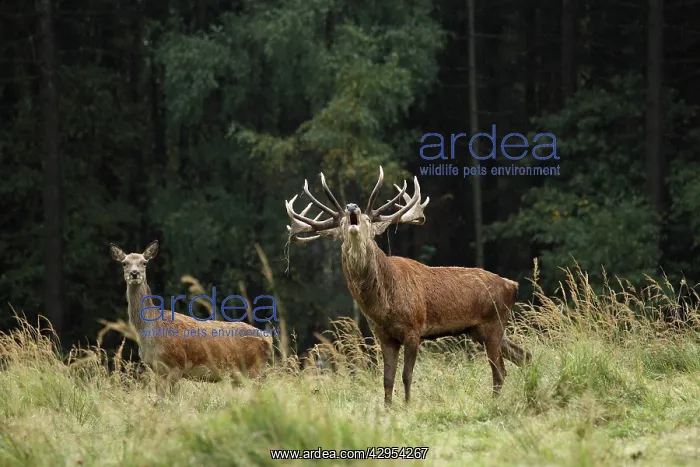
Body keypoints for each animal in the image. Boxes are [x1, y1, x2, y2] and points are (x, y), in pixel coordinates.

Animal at [109, 240, 273, 391]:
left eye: (144, 262)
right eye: (124, 263)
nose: (134, 273)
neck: (150, 330)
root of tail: (268, 338)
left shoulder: (177, 364)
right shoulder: (156, 369)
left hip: (254, 370)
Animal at [284, 167, 531, 405]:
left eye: (367, 220)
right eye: (343, 223)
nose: (352, 206)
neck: (383, 306)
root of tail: (513, 286)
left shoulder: (414, 328)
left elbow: (406, 375)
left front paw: (407, 406)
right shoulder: (383, 336)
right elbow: (387, 378)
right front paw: (387, 408)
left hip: (493, 323)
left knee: (500, 371)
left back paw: (495, 402)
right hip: (480, 329)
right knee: (522, 355)